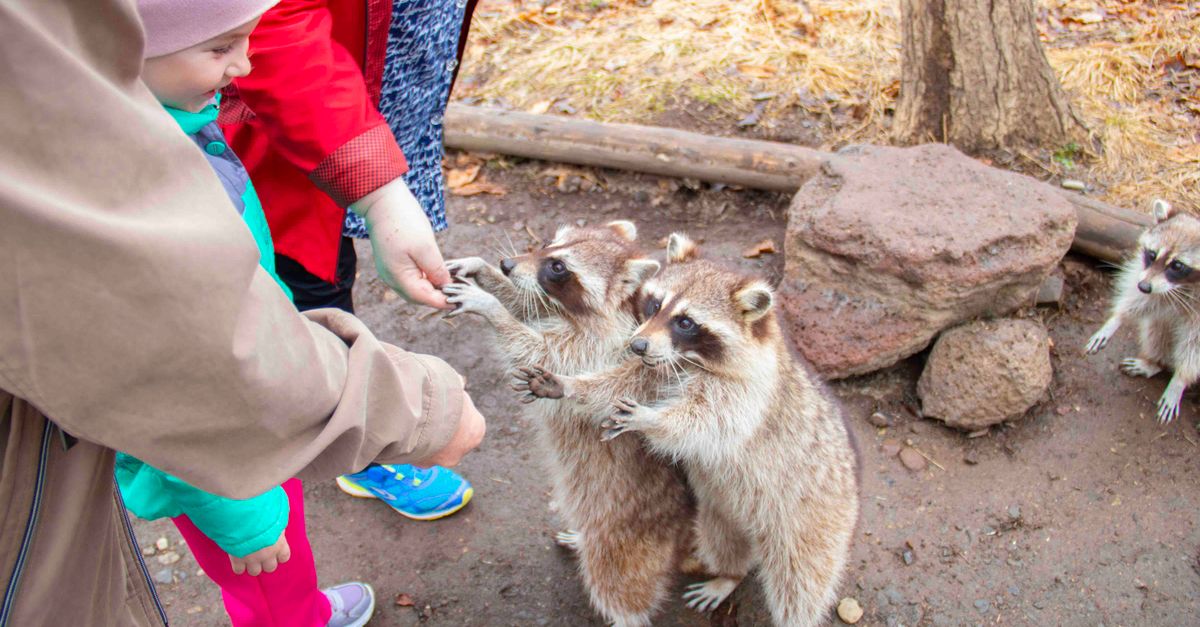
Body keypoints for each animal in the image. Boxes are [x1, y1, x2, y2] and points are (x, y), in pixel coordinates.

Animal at [443, 221, 694, 627]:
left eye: (558, 267)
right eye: (547, 244)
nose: (507, 263)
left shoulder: (597, 349)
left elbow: (538, 351)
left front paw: (492, 308)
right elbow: (529, 307)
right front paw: (485, 273)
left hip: (626, 534)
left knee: (617, 581)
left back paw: (626, 613)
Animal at [514, 233, 860, 627]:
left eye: (685, 322)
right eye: (655, 304)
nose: (636, 344)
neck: (692, 361)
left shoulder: (748, 395)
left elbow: (708, 423)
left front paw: (652, 420)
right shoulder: (658, 367)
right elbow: (620, 383)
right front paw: (570, 385)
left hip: (813, 518)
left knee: (801, 580)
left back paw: (755, 590)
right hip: (719, 511)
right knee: (723, 542)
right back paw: (729, 572)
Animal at [1086, 199, 1200, 424]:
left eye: (1177, 265)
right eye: (1152, 254)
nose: (1143, 286)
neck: (1184, 287)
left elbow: (1195, 349)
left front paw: (1180, 380)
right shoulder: (1157, 287)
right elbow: (1143, 302)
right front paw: (1115, 320)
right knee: (1157, 329)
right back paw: (1155, 362)